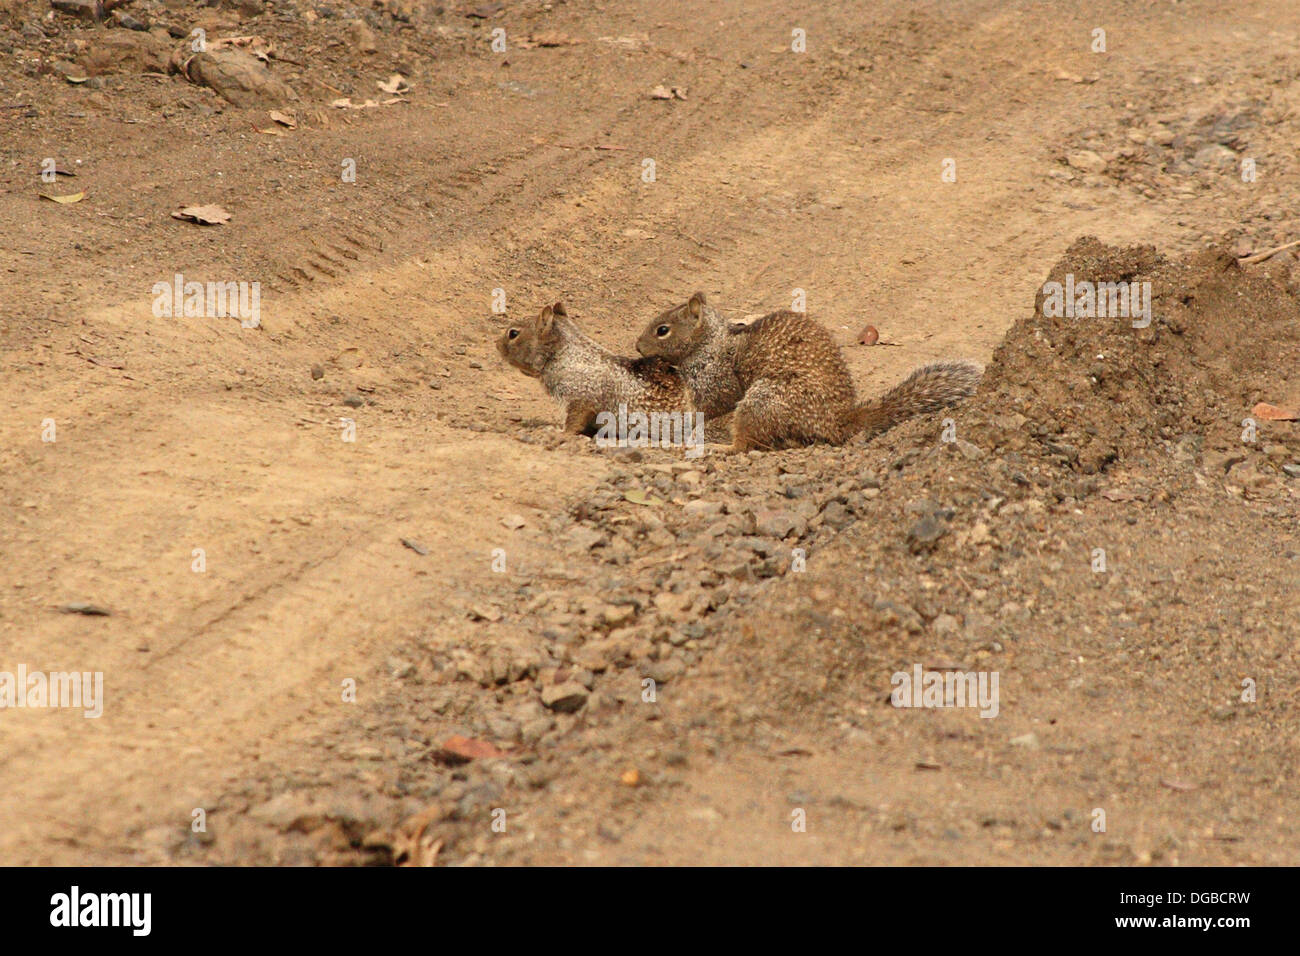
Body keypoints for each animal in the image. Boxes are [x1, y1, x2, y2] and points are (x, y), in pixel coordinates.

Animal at [496, 299, 733, 442]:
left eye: (513, 333)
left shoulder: (581, 397)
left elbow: (574, 420)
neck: (567, 355)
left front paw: (559, 432)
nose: (496, 344)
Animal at [634, 291, 977, 452]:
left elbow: (712, 406)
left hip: (762, 401)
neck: (711, 342)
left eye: (662, 330)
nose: (637, 346)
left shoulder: (716, 381)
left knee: (746, 445)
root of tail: (838, 422)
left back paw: (721, 448)